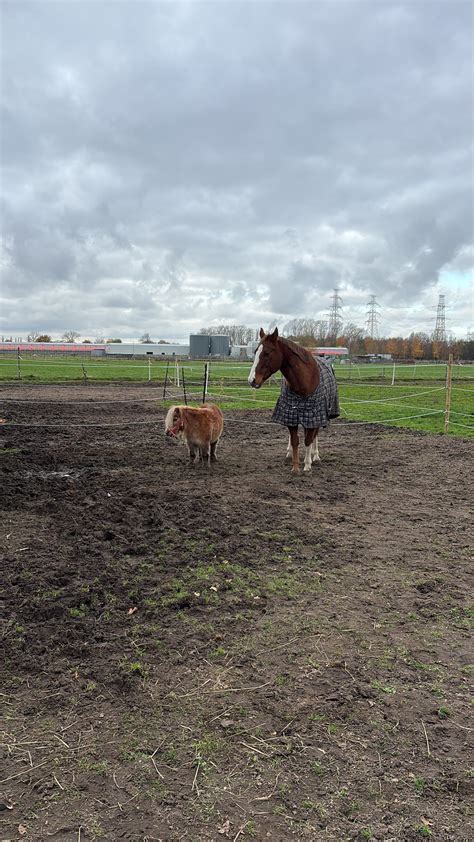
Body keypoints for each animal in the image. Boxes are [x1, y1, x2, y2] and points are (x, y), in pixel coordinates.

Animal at [248, 327, 339, 474]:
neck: (305, 381)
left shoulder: (314, 416)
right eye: (256, 352)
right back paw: (289, 453)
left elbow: (308, 440)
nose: (251, 380)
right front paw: (295, 466)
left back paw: (315, 456)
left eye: (267, 353)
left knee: (315, 435)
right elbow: (295, 440)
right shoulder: (290, 414)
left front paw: (307, 465)